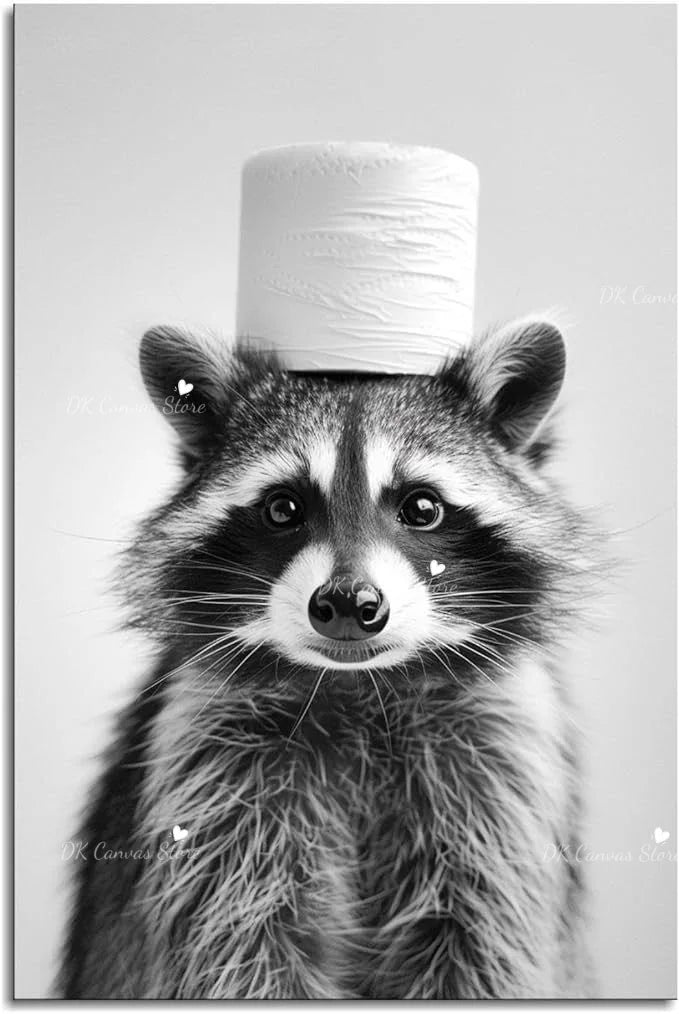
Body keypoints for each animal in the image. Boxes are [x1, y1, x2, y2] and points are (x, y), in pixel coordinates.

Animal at [59, 317, 597, 999]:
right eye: (283, 507)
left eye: (422, 507)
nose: (347, 603)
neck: (357, 687)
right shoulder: (210, 768)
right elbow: (241, 949)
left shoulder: (501, 770)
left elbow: (483, 948)